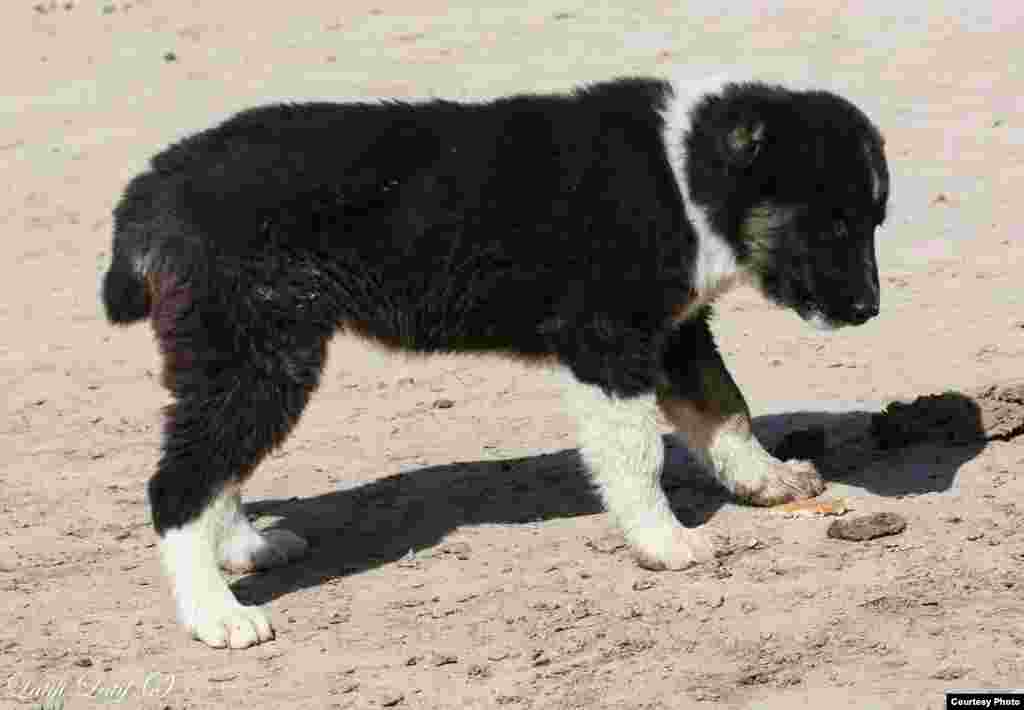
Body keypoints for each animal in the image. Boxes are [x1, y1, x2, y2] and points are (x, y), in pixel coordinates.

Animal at [101, 75, 888, 649]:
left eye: (872, 222)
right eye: (832, 224)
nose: (869, 311)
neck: (685, 175)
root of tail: (151, 187)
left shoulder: (676, 333)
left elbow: (725, 407)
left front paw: (768, 480)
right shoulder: (608, 342)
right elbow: (638, 456)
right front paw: (663, 542)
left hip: (246, 355)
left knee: (215, 461)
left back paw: (241, 547)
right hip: (260, 349)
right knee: (178, 481)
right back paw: (216, 613)